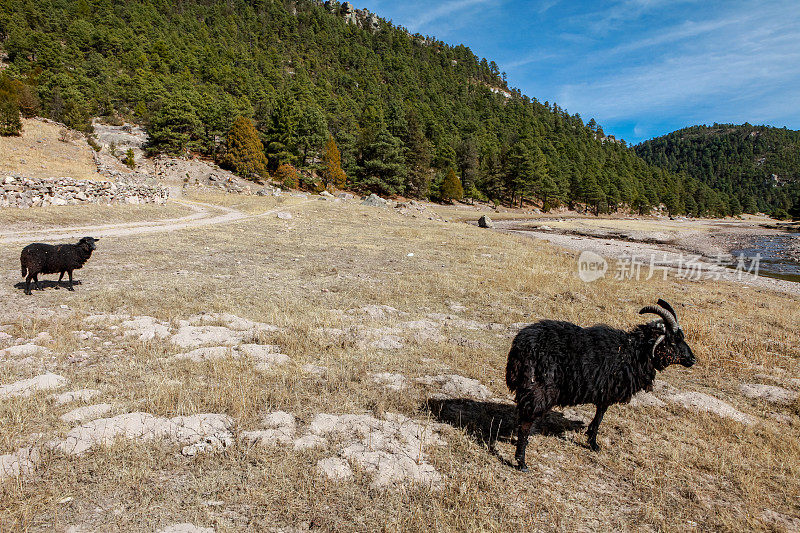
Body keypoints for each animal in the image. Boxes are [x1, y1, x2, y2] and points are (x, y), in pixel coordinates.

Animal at [506, 300, 692, 470]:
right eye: (673, 341)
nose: (693, 359)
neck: (634, 351)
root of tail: (521, 346)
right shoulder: (607, 391)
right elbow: (600, 416)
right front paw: (593, 444)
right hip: (540, 388)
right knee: (526, 423)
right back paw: (521, 461)